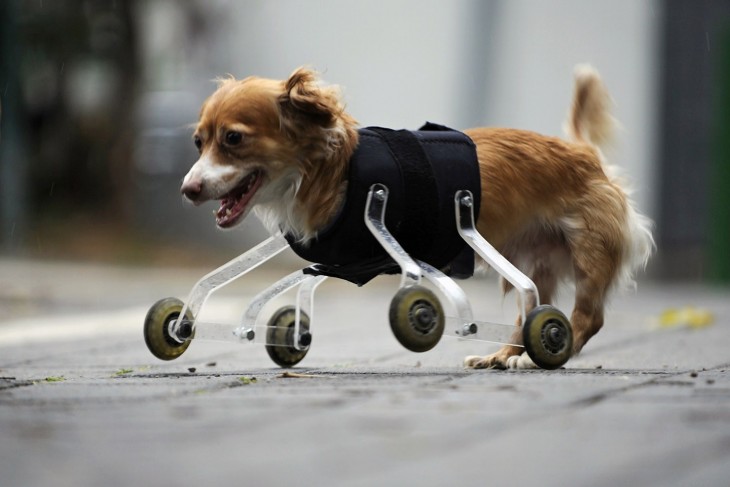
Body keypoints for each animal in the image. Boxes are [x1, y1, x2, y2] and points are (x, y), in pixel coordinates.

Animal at [179, 65, 652, 370]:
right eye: (199, 142)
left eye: (233, 139)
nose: (188, 189)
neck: (332, 172)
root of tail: (583, 154)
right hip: (535, 261)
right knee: (530, 310)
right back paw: (505, 355)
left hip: (588, 252)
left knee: (582, 318)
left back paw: (545, 353)